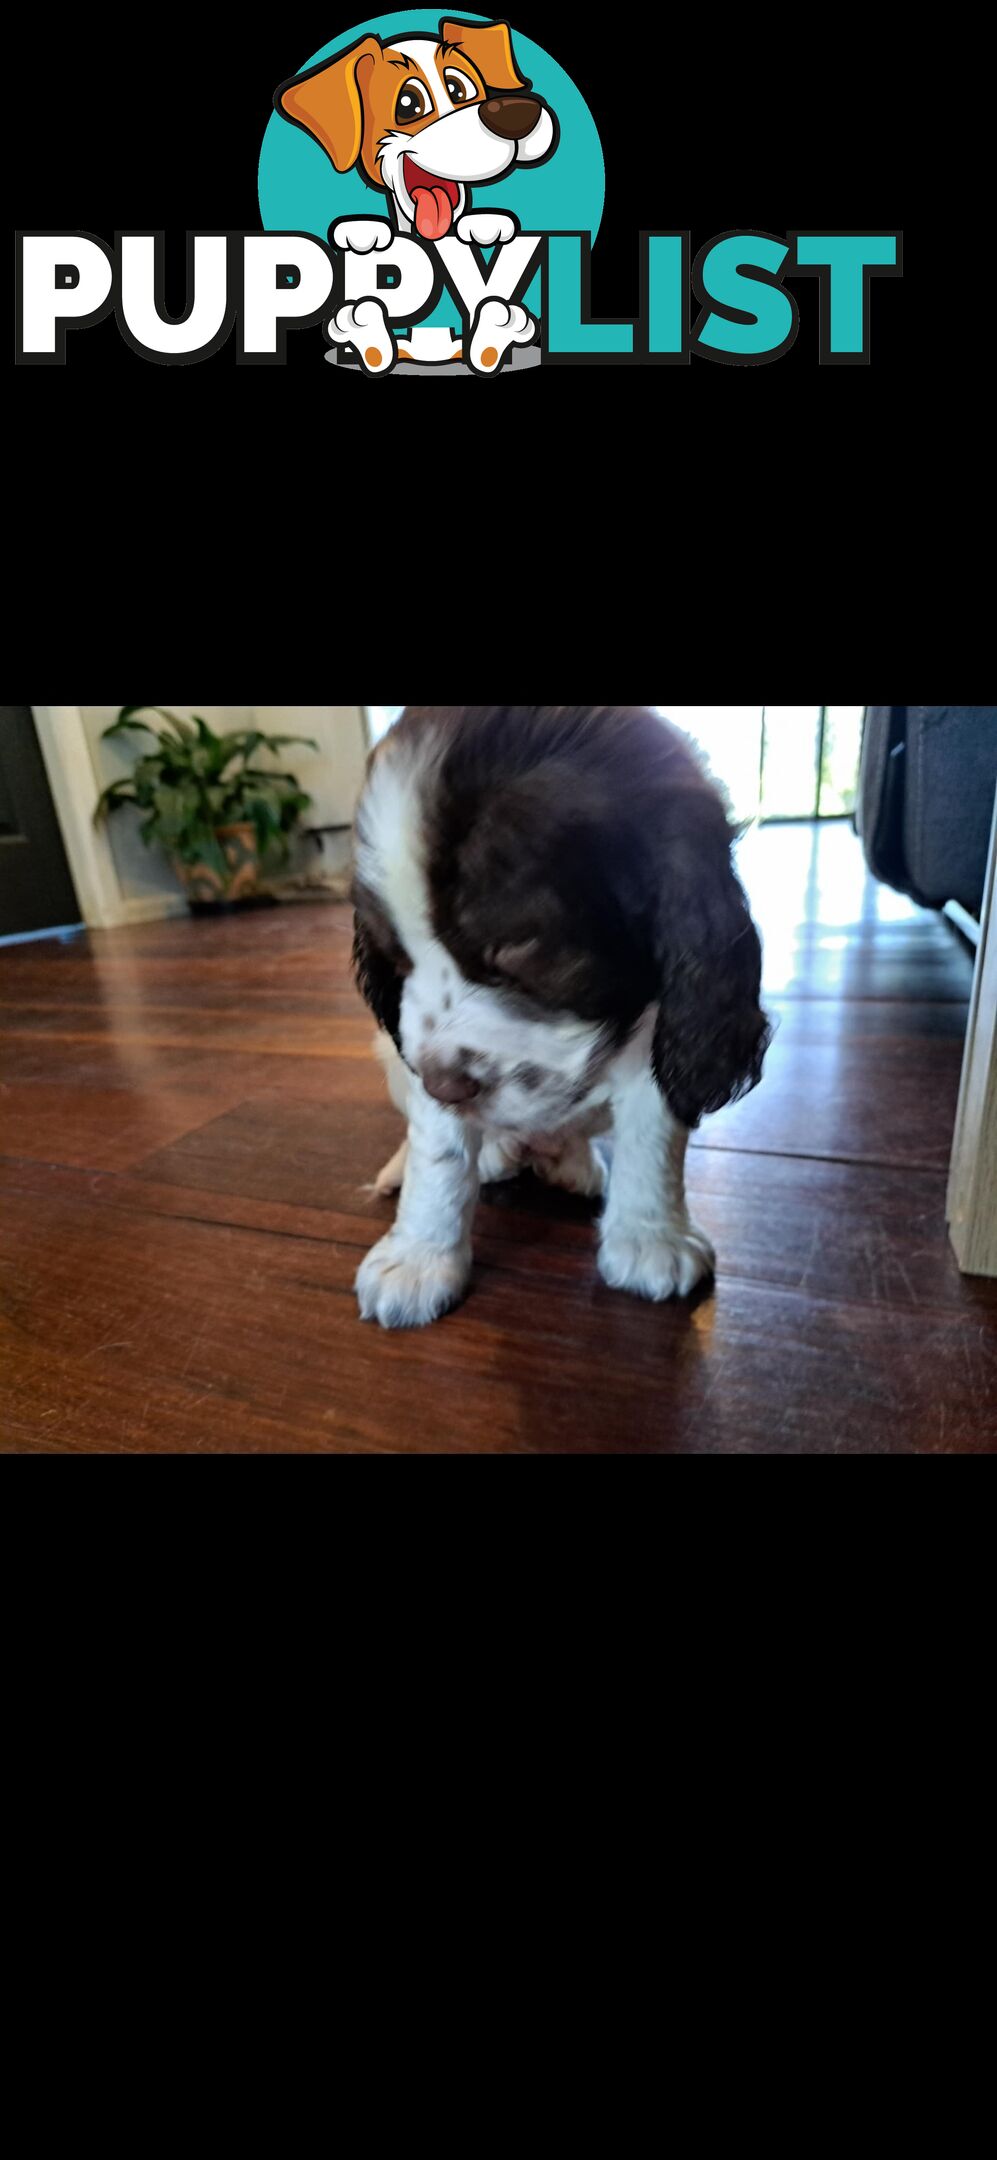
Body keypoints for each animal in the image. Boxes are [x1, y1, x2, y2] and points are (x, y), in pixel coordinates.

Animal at [349, 704, 772, 1330]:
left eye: (516, 948)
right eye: (396, 957)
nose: (445, 1087)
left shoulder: (666, 1028)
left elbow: (653, 1135)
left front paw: (652, 1239)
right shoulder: (416, 1055)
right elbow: (438, 1153)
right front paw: (418, 1258)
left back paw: (572, 1163)